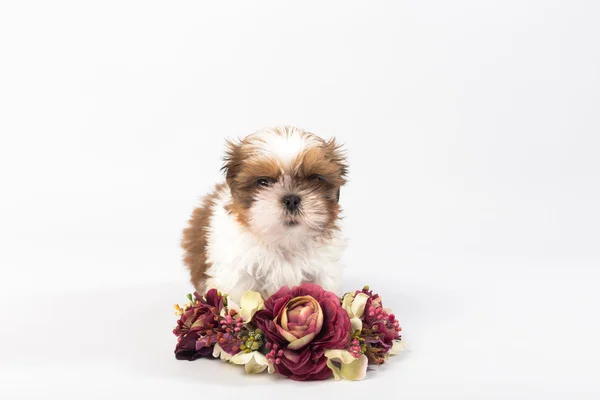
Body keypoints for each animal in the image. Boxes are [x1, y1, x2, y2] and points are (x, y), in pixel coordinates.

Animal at [183, 126, 350, 302]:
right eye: (263, 182)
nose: (291, 199)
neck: (285, 241)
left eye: (314, 179)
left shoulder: (322, 271)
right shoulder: (237, 273)